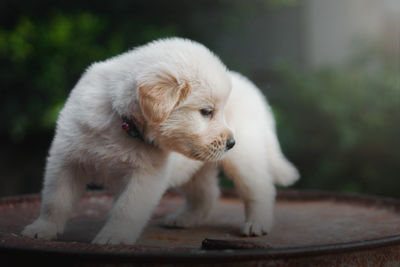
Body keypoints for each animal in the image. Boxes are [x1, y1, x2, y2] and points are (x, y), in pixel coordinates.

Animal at [21, 37, 296, 245]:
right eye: (207, 112)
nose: (231, 142)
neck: (123, 123)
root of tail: (254, 90)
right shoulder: (67, 159)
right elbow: (55, 200)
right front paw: (42, 229)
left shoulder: (145, 176)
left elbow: (126, 208)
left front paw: (114, 237)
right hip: (195, 167)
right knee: (207, 194)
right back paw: (186, 218)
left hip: (245, 158)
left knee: (260, 189)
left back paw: (257, 223)